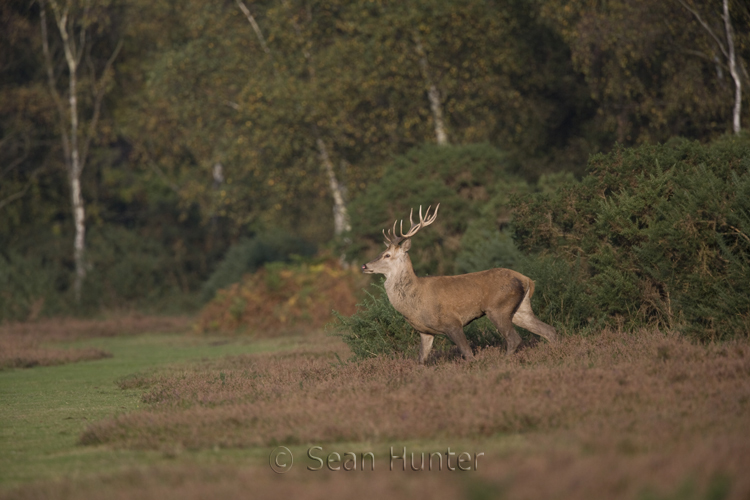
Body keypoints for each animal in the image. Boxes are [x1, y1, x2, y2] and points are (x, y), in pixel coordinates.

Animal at [361, 204, 557, 364]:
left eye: (387, 255)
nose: (364, 265)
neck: (415, 303)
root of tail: (526, 279)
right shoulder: (425, 332)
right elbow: (421, 360)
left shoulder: (452, 322)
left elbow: (468, 353)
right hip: (521, 309)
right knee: (549, 330)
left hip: (498, 307)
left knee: (514, 338)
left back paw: (503, 362)